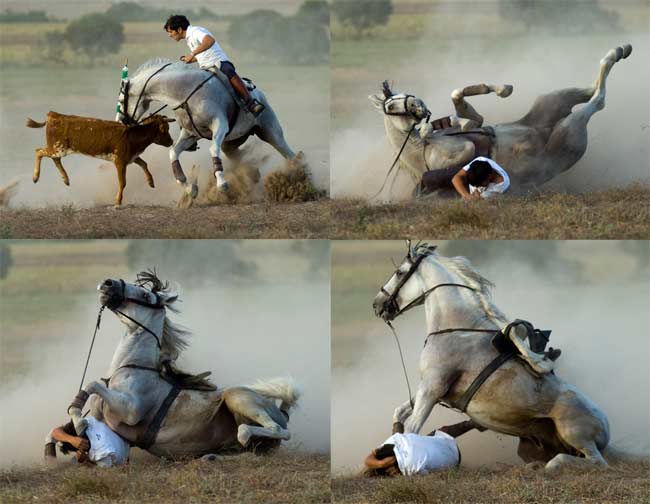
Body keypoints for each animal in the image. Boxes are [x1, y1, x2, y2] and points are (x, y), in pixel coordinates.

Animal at [26, 113, 173, 206]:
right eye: (165, 129)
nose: (171, 141)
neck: (133, 135)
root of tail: (53, 115)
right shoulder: (120, 161)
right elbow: (123, 182)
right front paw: (118, 201)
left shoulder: (130, 157)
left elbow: (144, 163)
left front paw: (151, 182)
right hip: (58, 148)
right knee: (39, 151)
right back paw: (35, 177)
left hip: (59, 149)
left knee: (54, 159)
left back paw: (66, 179)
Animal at [66, 272, 298, 456]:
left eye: (145, 295)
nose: (108, 283)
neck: (132, 367)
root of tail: (282, 412)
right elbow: (90, 394)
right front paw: (76, 427)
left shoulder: (131, 411)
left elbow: (93, 385)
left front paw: (79, 423)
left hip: (238, 397)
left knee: (280, 431)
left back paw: (244, 434)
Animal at [117, 60, 296, 198]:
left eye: (121, 101)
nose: (120, 122)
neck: (186, 94)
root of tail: (258, 93)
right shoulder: (190, 134)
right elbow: (173, 152)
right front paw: (189, 187)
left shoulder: (219, 124)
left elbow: (212, 149)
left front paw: (222, 184)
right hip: (231, 143)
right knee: (238, 157)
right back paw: (252, 174)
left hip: (271, 132)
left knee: (288, 153)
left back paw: (296, 173)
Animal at [368, 44, 632, 199]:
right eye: (390, 105)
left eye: (401, 93)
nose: (420, 106)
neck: (420, 150)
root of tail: (546, 130)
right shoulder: (458, 155)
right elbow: (463, 143)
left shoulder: (471, 123)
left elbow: (460, 102)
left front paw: (501, 89)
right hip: (570, 131)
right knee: (597, 99)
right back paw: (618, 54)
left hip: (553, 101)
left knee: (589, 88)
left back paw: (620, 51)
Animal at [372, 244, 612, 472]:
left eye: (399, 272)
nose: (377, 304)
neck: (457, 328)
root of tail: (606, 426)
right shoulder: (432, 389)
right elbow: (399, 413)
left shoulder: (432, 388)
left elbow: (412, 428)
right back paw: (536, 465)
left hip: (573, 432)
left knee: (596, 462)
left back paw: (550, 466)